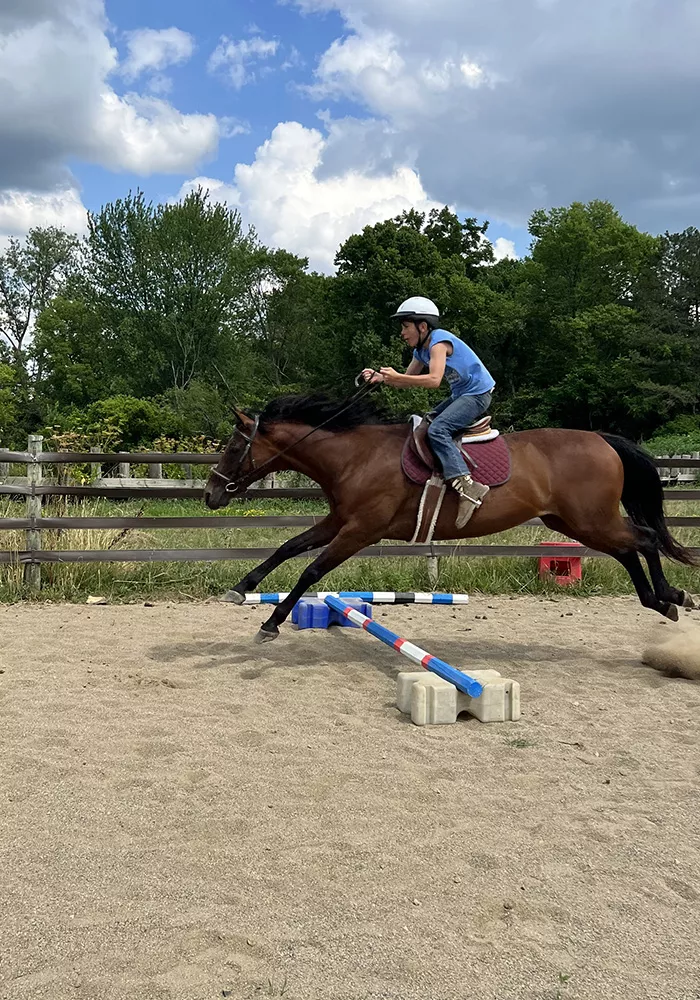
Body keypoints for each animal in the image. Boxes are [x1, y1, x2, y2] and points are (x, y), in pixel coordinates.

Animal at [202, 390, 696, 640]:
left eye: (233, 446)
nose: (210, 494)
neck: (355, 457)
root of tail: (602, 439)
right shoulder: (339, 522)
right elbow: (288, 548)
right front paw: (243, 587)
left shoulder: (360, 531)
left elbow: (311, 570)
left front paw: (270, 623)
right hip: (576, 523)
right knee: (629, 548)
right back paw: (660, 601)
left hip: (589, 520)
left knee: (646, 540)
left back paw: (671, 596)